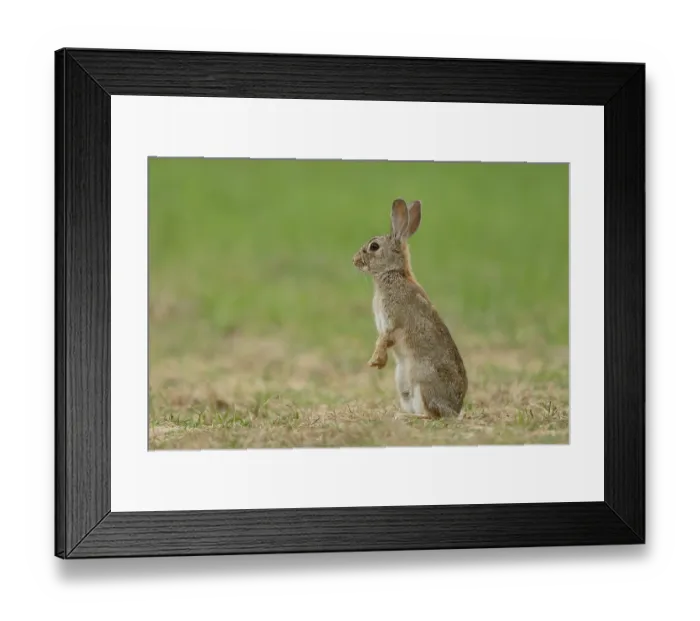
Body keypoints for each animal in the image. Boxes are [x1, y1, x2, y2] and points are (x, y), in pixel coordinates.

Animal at [352, 198, 468, 420]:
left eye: (374, 246)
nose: (354, 260)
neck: (393, 273)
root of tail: (454, 408)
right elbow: (381, 339)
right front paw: (378, 362)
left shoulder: (393, 320)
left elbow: (384, 339)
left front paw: (375, 361)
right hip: (402, 384)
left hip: (422, 380)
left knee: (431, 414)